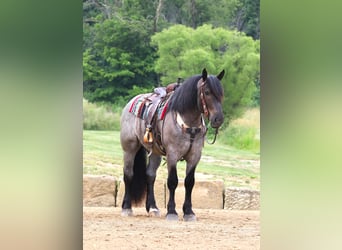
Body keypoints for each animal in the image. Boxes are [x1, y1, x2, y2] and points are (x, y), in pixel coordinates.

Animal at [119, 68, 224, 221]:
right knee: (128, 174)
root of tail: (131, 102)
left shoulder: (194, 156)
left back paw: (153, 207)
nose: (218, 119)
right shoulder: (172, 155)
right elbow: (173, 181)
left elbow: (189, 182)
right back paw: (126, 208)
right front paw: (172, 212)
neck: (189, 124)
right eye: (207, 92)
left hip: (155, 152)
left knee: (150, 175)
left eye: (221, 93)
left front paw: (189, 212)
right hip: (129, 148)